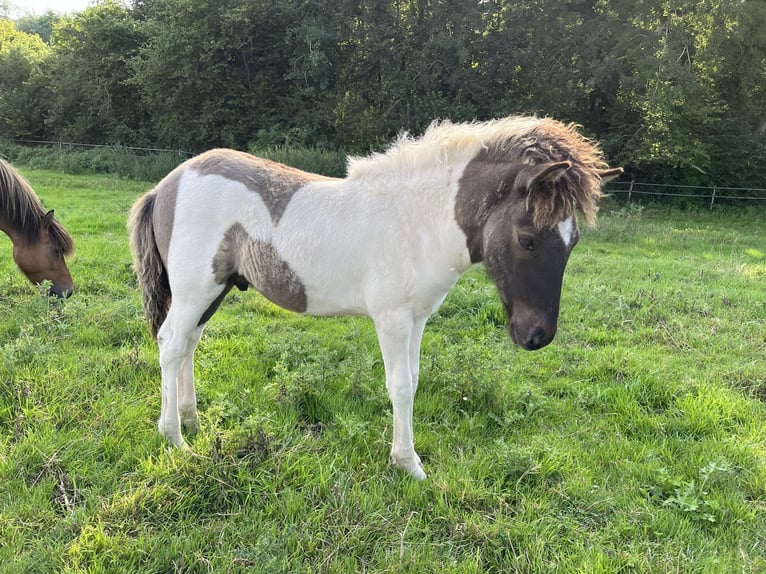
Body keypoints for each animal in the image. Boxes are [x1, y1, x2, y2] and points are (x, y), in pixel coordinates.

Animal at [129, 115, 621, 479]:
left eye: (573, 241)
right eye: (528, 239)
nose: (537, 336)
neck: (418, 221)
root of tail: (168, 183)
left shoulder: (418, 319)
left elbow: (415, 380)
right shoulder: (393, 319)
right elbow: (400, 386)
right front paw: (408, 464)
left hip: (215, 289)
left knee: (189, 344)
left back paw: (192, 419)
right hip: (196, 290)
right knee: (171, 344)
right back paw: (174, 437)